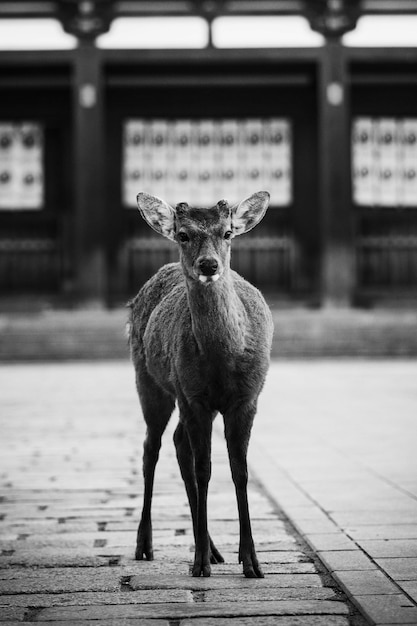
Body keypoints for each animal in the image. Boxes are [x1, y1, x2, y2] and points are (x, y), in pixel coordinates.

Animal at [128, 190, 274, 576]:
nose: (209, 266)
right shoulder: (196, 398)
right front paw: (199, 566)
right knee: (151, 448)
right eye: (183, 235)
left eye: (227, 232)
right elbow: (204, 469)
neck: (223, 360)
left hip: (178, 394)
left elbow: (239, 471)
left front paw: (251, 562)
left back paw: (212, 548)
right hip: (150, 381)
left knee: (179, 444)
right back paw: (146, 545)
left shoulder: (247, 398)